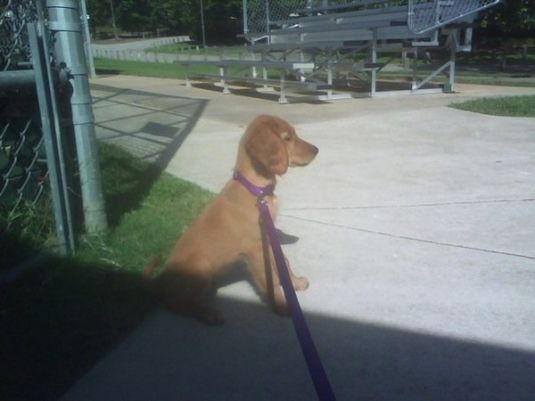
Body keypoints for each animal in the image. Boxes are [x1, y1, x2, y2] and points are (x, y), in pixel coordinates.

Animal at [143, 114, 318, 324]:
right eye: (288, 138)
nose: (317, 150)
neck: (257, 190)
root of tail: (160, 281)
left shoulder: (267, 240)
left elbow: (283, 262)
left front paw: (295, 282)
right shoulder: (255, 248)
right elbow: (271, 280)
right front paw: (282, 305)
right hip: (201, 266)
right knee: (176, 304)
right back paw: (209, 314)